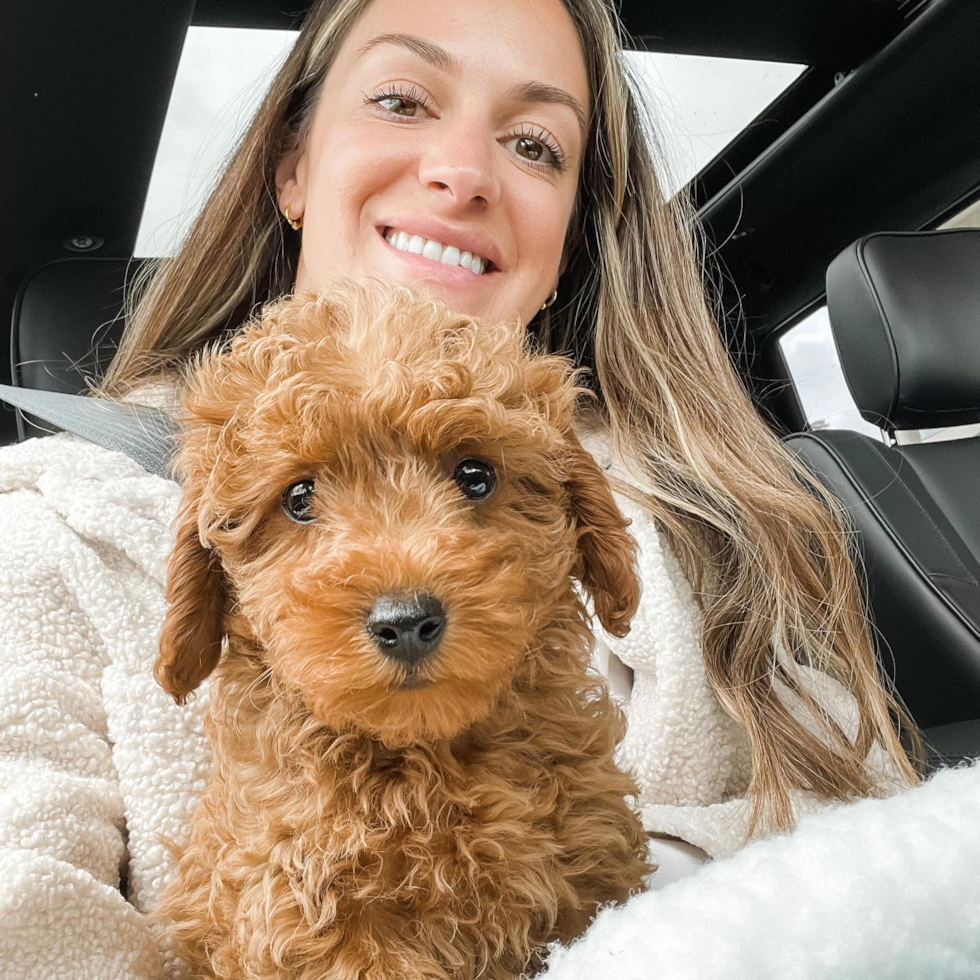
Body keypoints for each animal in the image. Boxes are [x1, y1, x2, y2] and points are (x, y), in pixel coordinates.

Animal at [149, 280, 656, 980]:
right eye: (298, 498)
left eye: (476, 475)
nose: (406, 622)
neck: (423, 760)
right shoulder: (310, 906)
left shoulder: (590, 857)